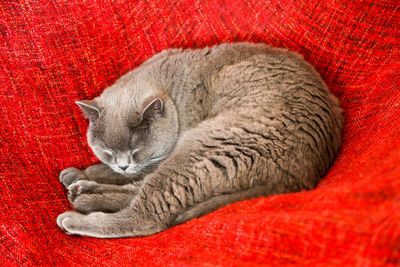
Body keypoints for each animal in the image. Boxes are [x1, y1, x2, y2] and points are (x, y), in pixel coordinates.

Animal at [56, 43, 344, 240]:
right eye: (107, 151)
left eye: (135, 151)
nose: (123, 164)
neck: (173, 90)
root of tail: (301, 178)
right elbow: (123, 176)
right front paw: (82, 172)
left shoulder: (159, 156)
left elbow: (132, 176)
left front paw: (89, 174)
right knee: (139, 191)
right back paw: (81, 191)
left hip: (202, 145)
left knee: (147, 213)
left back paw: (76, 211)